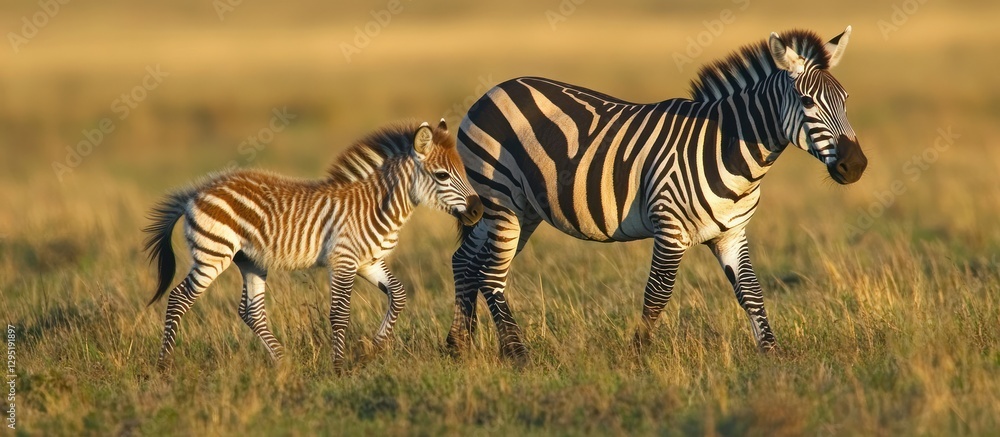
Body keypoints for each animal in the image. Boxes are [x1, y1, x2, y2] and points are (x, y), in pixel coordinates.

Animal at [144, 120, 483, 372]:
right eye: (442, 175)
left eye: (463, 172)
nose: (479, 211)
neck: (376, 206)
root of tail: (197, 192)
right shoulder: (343, 260)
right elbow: (340, 313)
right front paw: (338, 367)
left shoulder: (369, 262)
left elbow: (398, 296)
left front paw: (372, 350)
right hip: (213, 255)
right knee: (177, 299)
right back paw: (163, 367)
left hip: (250, 259)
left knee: (251, 310)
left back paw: (284, 363)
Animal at [447, 28, 867, 361]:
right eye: (808, 101)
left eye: (846, 99)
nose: (857, 165)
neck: (726, 147)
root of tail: (493, 91)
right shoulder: (670, 229)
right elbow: (658, 294)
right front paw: (638, 355)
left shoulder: (732, 232)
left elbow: (751, 291)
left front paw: (772, 354)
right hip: (502, 202)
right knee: (491, 273)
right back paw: (516, 353)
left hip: (518, 210)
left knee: (466, 261)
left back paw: (458, 346)